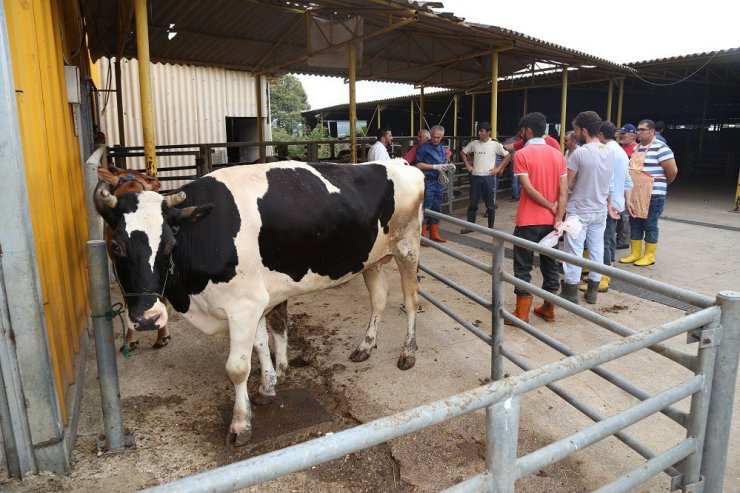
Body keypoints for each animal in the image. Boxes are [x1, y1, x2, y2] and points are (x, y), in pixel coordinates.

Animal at [95, 160, 424, 444]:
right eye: (115, 246)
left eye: (169, 244)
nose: (147, 318)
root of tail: (399, 163)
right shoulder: (255, 301)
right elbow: (262, 344)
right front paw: (268, 387)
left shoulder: (243, 306)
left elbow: (238, 367)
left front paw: (241, 423)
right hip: (373, 260)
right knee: (379, 300)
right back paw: (365, 347)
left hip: (407, 248)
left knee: (410, 301)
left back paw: (408, 352)